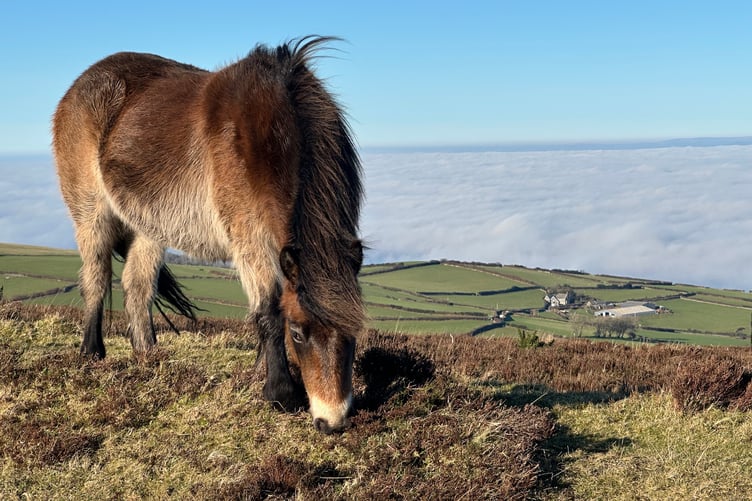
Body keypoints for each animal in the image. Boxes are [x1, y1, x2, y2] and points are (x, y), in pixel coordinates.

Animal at [52, 37, 365, 434]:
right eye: (298, 332)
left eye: (353, 333)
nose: (332, 420)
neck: (271, 134)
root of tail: (80, 85)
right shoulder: (249, 238)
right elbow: (268, 310)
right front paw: (280, 392)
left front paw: (260, 375)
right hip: (91, 213)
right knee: (96, 278)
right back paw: (92, 353)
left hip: (147, 227)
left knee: (137, 287)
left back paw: (149, 357)